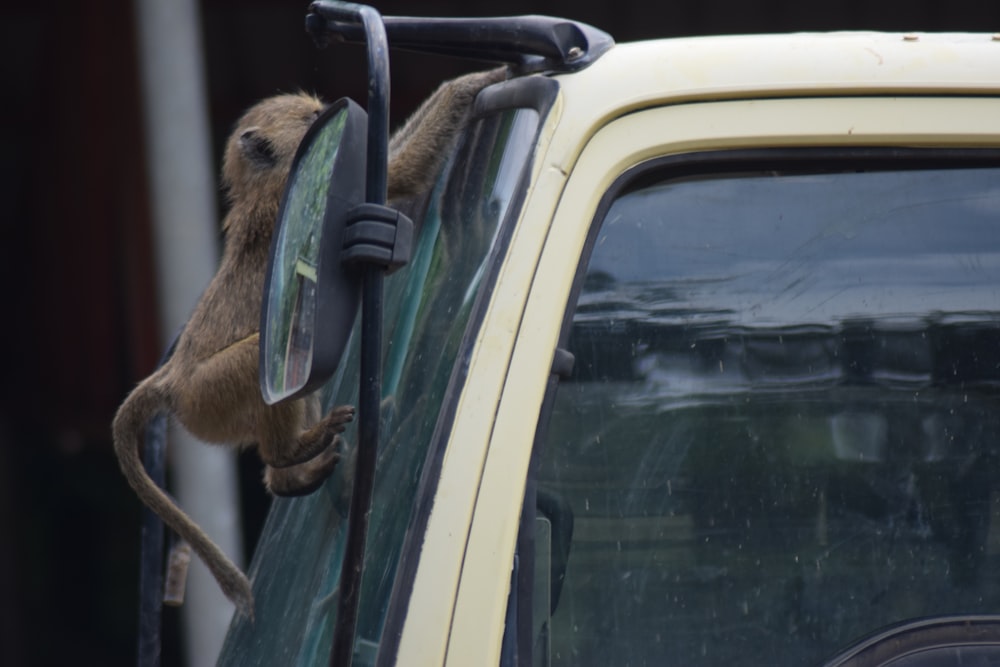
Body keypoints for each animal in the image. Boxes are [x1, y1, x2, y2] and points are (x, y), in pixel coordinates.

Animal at [113, 68, 512, 620]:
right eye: (310, 120)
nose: (334, 112)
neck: (262, 186)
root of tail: (170, 378)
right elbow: (397, 175)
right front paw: (480, 80)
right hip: (210, 395)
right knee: (271, 352)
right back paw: (290, 453)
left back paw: (291, 475)